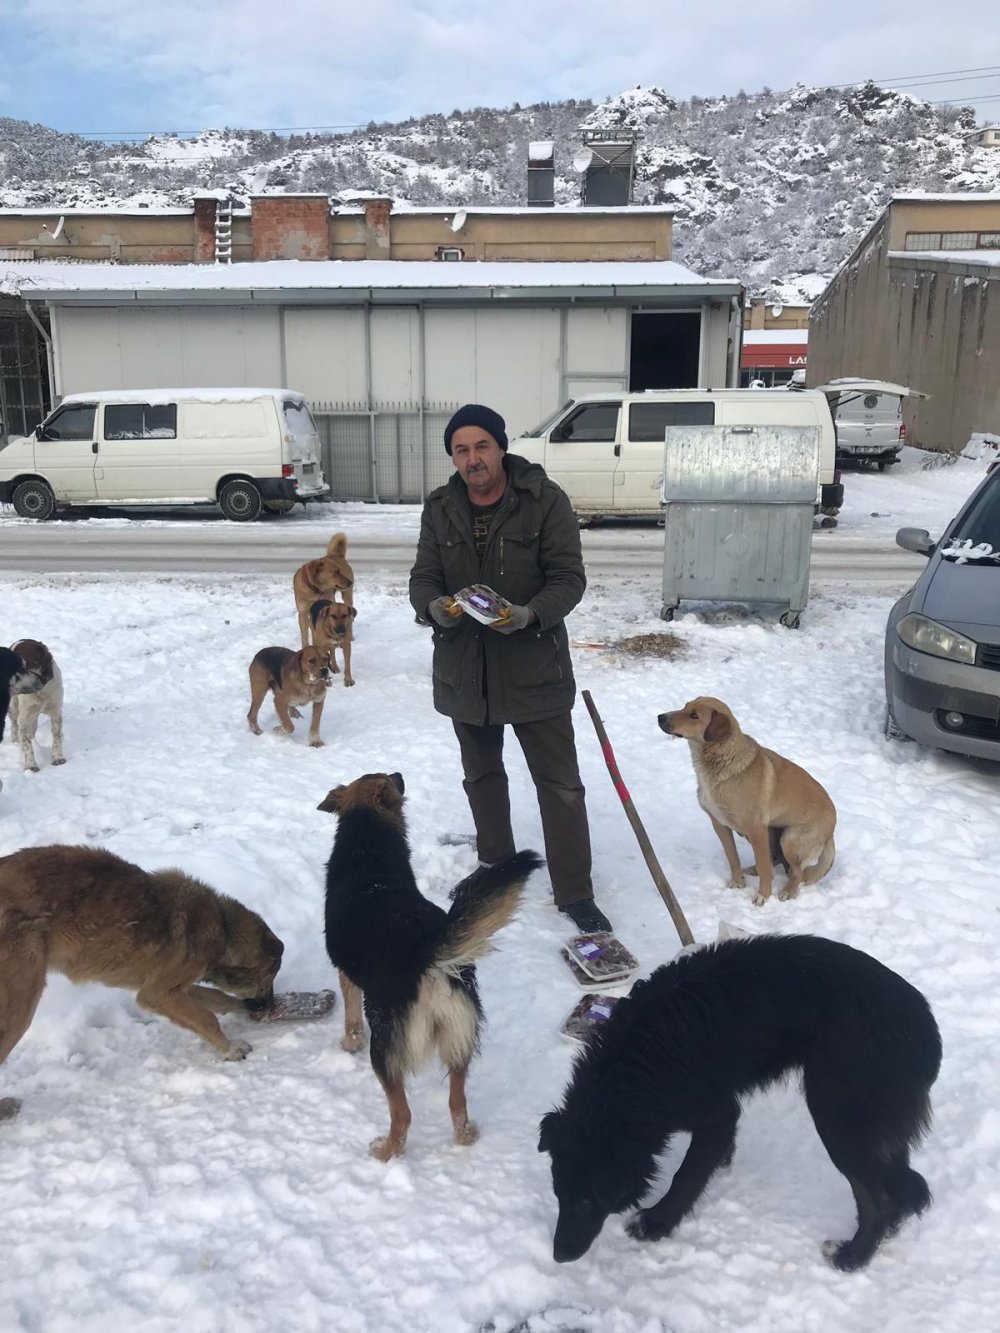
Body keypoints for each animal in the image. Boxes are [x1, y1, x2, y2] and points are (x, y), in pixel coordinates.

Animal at [0, 844, 285, 1119]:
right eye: (268, 979)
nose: (271, 1007)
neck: (224, 928)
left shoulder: (169, 988)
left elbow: (217, 999)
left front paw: (239, 1011)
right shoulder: (158, 994)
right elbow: (207, 1018)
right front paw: (230, 1048)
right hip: (22, 1001)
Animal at [6, 639, 65, 771]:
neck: (40, 690)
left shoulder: (56, 713)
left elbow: (57, 737)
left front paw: (58, 758)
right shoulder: (24, 718)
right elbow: (27, 743)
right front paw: (31, 765)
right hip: (13, 708)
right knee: (14, 726)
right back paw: (15, 742)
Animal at [318, 771, 542, 1160]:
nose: (399, 774)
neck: (368, 852)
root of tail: (428, 954)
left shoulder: (347, 974)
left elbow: (351, 1018)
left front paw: (348, 1044)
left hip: (386, 1045)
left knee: (403, 1115)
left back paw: (384, 1152)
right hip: (458, 1035)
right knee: (457, 1103)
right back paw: (465, 1137)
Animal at [539, 933, 941, 1272]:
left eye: (587, 1201)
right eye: (558, 1193)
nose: (559, 1256)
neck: (632, 1072)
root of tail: (925, 1028)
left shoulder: (716, 1112)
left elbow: (687, 1174)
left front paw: (657, 1222)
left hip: (837, 1116)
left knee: (879, 1199)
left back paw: (853, 1256)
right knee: (901, 1184)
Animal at [658, 696, 836, 905]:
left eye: (694, 716)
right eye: (685, 706)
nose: (660, 717)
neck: (722, 761)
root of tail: (832, 830)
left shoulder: (756, 829)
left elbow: (764, 866)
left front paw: (763, 895)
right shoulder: (720, 824)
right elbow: (733, 858)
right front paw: (738, 882)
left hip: (789, 839)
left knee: (796, 871)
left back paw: (788, 891)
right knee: (775, 860)